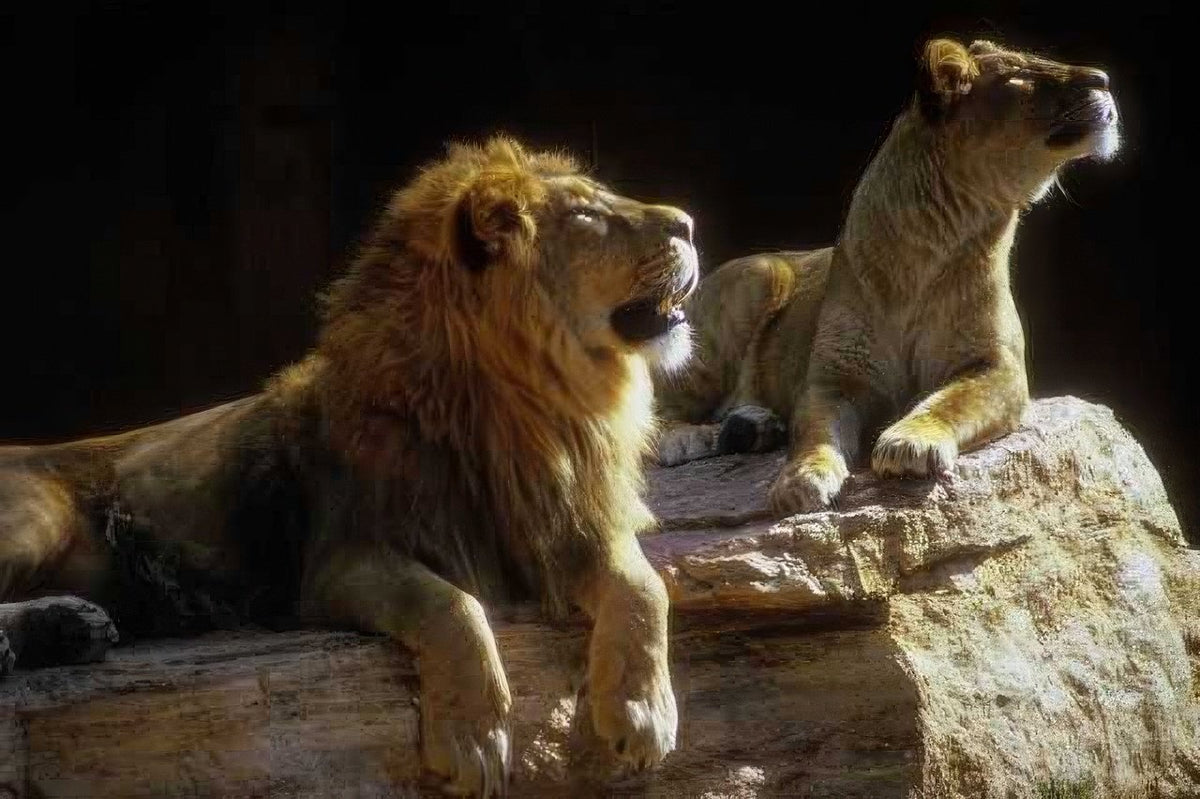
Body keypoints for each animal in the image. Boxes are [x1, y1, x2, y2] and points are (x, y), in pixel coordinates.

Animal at [0, 136, 698, 796]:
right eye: (585, 215)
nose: (689, 224)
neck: (530, 406)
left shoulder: (571, 526)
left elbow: (644, 587)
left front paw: (643, 713)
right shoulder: (342, 558)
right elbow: (453, 607)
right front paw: (474, 743)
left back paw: (73, 626)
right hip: (38, 514)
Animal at [654, 37, 1121, 515]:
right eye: (1020, 77)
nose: (1103, 78)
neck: (932, 251)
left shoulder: (998, 366)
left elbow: (952, 403)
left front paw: (909, 443)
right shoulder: (833, 379)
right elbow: (815, 433)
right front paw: (800, 480)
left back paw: (751, 427)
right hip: (758, 278)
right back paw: (703, 436)